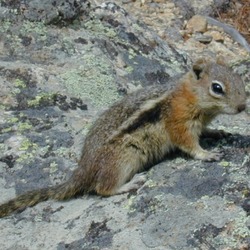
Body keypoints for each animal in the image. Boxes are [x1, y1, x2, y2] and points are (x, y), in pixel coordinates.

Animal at [0, 57, 246, 218]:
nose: (243, 107)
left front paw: (217, 132)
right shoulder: (179, 122)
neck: (190, 96)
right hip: (121, 160)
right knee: (102, 188)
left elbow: (205, 132)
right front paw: (206, 154)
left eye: (240, 79)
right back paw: (129, 184)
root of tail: (82, 169)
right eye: (217, 88)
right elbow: (187, 143)